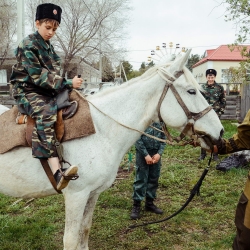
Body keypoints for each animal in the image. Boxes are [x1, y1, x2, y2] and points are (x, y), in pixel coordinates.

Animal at [0, 50, 223, 248]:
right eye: (191, 90)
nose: (219, 132)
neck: (101, 129)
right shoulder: (76, 196)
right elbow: (70, 240)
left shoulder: (92, 194)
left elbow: (85, 230)